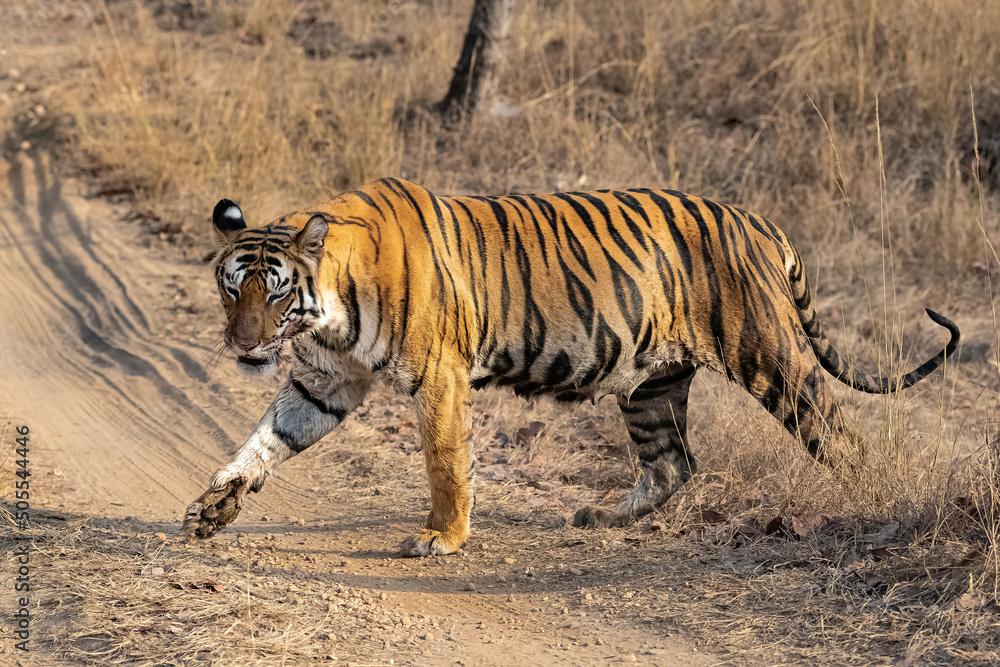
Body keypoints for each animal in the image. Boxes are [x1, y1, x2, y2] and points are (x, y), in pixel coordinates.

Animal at [182, 177, 960, 560]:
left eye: (275, 291)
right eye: (231, 286)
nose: (243, 347)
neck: (329, 310)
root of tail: (757, 220)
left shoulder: (439, 376)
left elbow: (443, 460)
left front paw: (442, 537)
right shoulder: (325, 383)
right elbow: (265, 439)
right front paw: (215, 506)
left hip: (771, 357)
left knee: (841, 439)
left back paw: (879, 511)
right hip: (652, 381)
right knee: (674, 462)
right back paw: (601, 515)